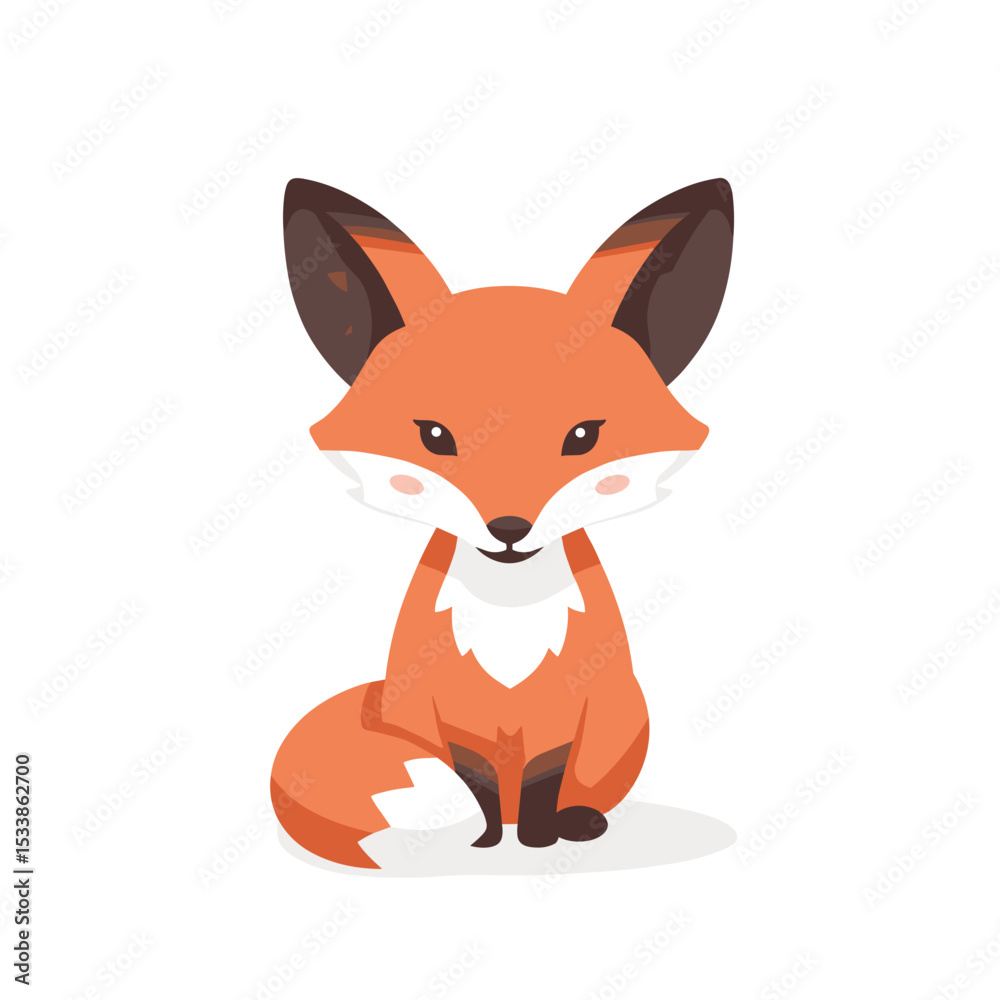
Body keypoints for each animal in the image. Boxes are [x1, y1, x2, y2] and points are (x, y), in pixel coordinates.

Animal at [270, 177, 734, 869]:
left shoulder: (565, 707)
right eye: (435, 436)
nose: (509, 527)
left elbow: (544, 781)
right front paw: (489, 841)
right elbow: (479, 783)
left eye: (583, 437)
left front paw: (538, 839)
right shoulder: (446, 710)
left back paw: (578, 823)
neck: (510, 620)